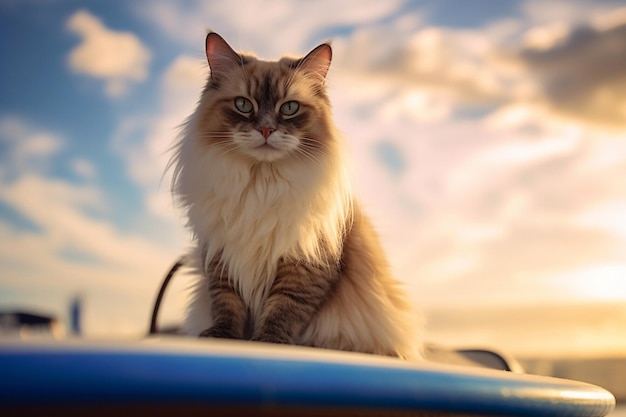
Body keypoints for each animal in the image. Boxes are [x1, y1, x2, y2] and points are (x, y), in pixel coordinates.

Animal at [169, 31, 420, 358]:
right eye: (243, 104)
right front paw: (221, 338)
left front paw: (267, 342)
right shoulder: (221, 256)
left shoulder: (305, 264)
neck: (261, 185)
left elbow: (284, 309)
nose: (265, 130)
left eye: (289, 108)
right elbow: (226, 305)